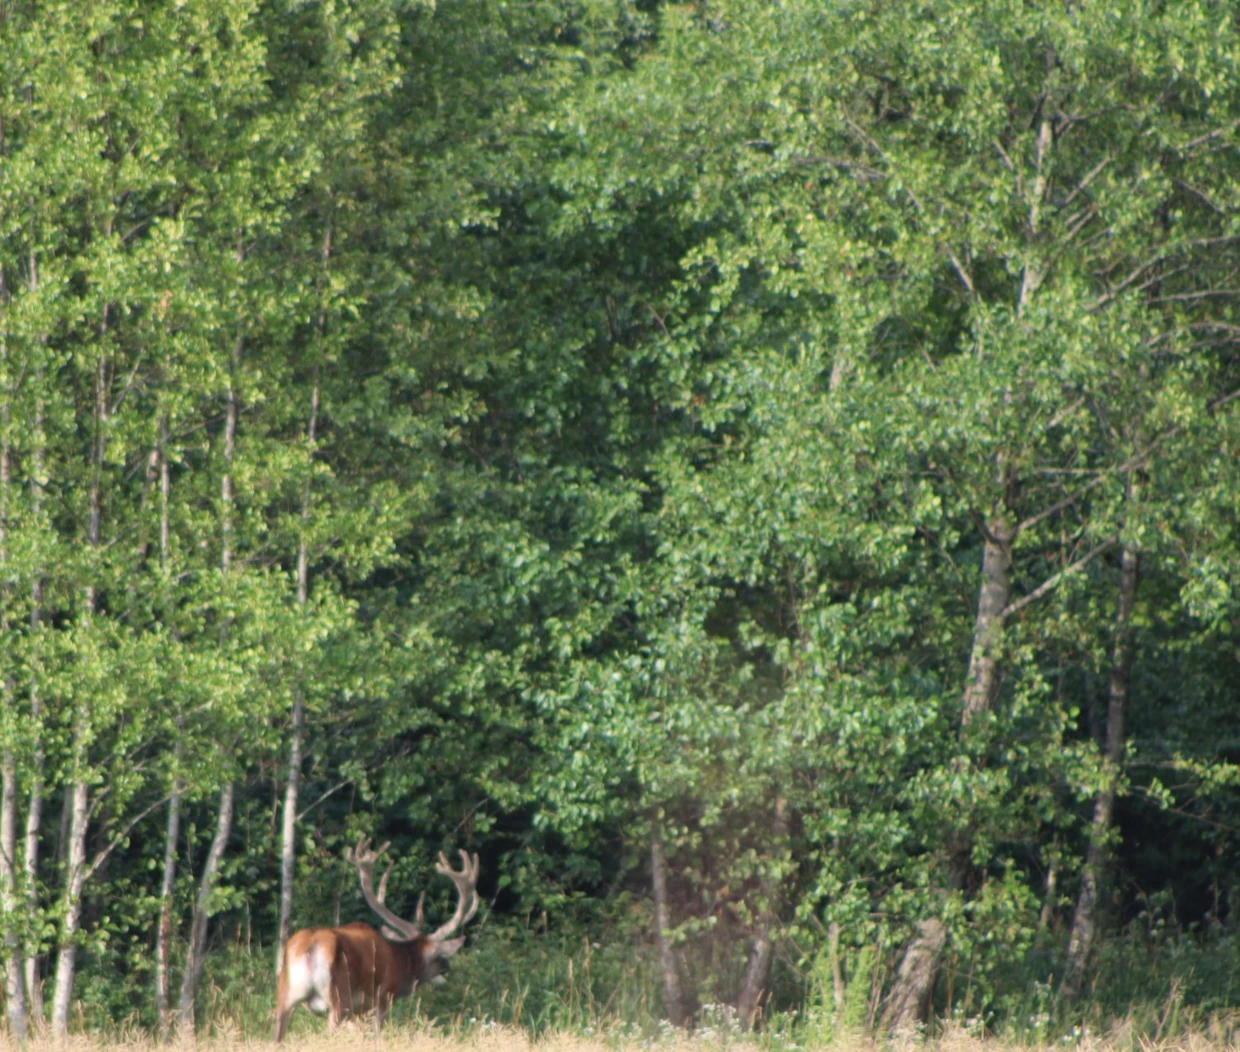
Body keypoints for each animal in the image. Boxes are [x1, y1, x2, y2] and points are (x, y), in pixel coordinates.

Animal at [276, 843, 478, 1042]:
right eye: (440, 957)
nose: (447, 969)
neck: (400, 962)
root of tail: (309, 948)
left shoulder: (359, 1012)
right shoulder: (383, 996)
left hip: (286, 993)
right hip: (340, 997)